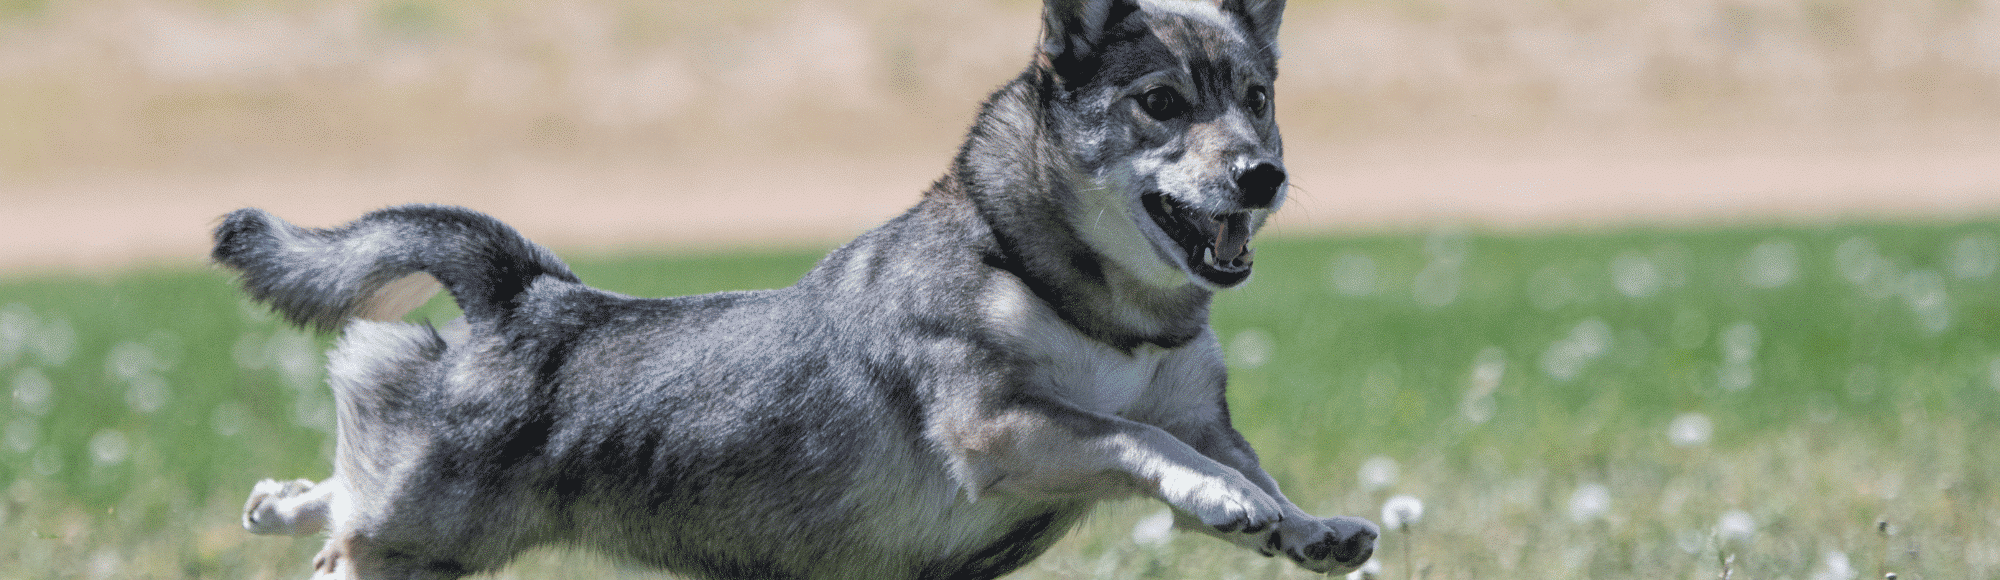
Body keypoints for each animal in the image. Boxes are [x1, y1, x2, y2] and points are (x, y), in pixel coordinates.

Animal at [219, 2, 1376, 576]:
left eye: (1258, 99)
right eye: (1160, 103)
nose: (1261, 176)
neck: (1102, 313)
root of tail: (526, 293)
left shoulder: (1197, 412)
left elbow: (1246, 466)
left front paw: (1305, 526)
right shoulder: (999, 427)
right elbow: (1142, 443)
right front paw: (1220, 499)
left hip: (416, 533)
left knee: (342, 489)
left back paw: (277, 500)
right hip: (412, 543)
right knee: (352, 519)